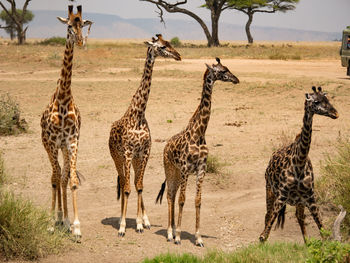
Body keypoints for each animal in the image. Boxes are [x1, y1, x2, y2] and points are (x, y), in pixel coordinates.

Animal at [108, 34, 180, 238]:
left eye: (170, 44)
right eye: (162, 47)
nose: (178, 55)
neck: (138, 114)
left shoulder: (144, 152)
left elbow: (139, 185)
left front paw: (141, 223)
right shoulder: (127, 153)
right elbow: (127, 189)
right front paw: (123, 227)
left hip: (135, 159)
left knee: (132, 181)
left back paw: (144, 221)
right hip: (117, 158)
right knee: (123, 181)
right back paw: (119, 220)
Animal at [157, 57, 241, 248]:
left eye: (227, 68)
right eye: (222, 71)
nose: (236, 79)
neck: (199, 133)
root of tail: (165, 146)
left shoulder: (201, 169)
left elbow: (197, 201)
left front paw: (199, 238)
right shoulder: (186, 169)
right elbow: (182, 200)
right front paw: (179, 237)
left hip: (177, 173)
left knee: (172, 195)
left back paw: (173, 230)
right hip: (170, 169)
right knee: (170, 196)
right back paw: (170, 233)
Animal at [258, 86, 338, 243]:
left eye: (328, 99)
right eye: (316, 101)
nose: (335, 113)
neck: (299, 163)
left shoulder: (310, 197)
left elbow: (323, 230)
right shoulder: (281, 195)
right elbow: (264, 234)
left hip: (299, 201)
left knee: (299, 218)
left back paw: (307, 242)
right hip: (269, 190)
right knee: (267, 217)